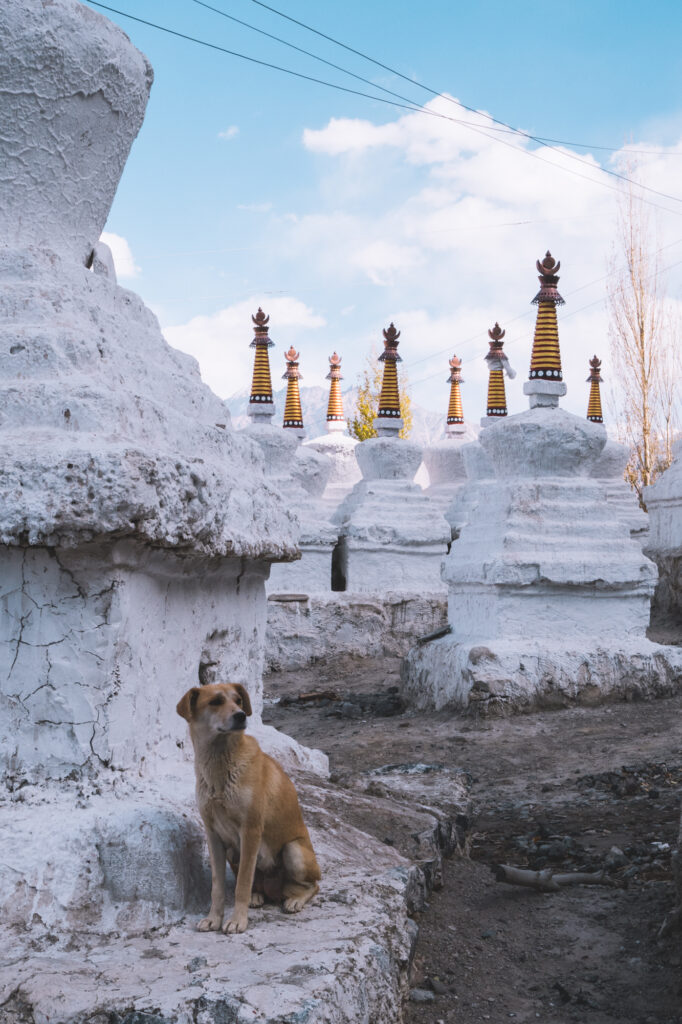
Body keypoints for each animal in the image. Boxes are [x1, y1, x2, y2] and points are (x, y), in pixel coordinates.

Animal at [175, 684, 319, 933]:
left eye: (238, 700)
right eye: (215, 701)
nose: (241, 716)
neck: (219, 764)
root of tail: (275, 891)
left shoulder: (250, 831)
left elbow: (241, 884)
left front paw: (237, 920)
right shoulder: (213, 836)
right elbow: (217, 887)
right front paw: (214, 918)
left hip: (294, 852)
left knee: (313, 885)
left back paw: (295, 900)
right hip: (234, 852)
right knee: (257, 885)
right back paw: (257, 896)